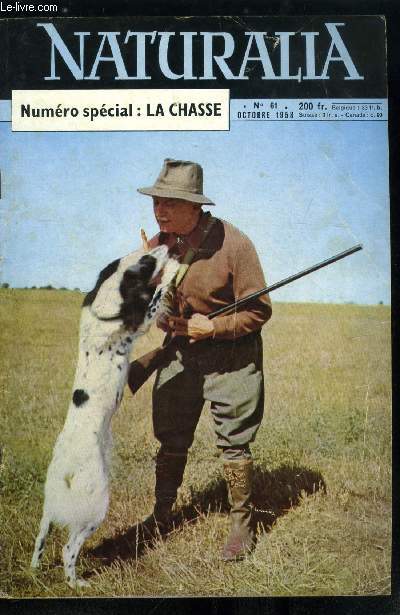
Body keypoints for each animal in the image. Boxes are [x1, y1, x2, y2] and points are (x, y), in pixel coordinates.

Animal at [32, 244, 179, 588]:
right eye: (145, 261)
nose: (168, 245)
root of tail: (66, 472)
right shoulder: (140, 320)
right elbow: (157, 296)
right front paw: (173, 268)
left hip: (50, 507)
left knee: (41, 536)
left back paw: (34, 568)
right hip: (96, 507)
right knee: (68, 549)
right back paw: (76, 582)